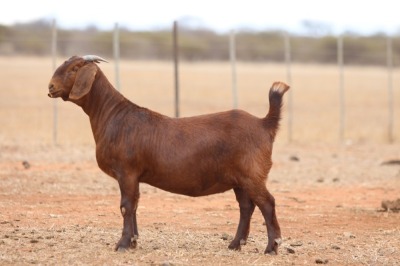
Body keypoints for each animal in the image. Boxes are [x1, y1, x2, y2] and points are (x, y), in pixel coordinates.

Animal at [48, 55, 290, 255]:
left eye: (75, 68)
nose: (51, 87)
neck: (113, 115)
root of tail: (264, 123)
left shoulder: (126, 171)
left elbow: (126, 206)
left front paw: (123, 244)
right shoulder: (134, 176)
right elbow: (134, 205)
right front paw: (133, 241)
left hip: (252, 174)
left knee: (267, 203)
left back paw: (272, 247)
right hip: (239, 179)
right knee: (246, 206)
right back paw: (235, 244)